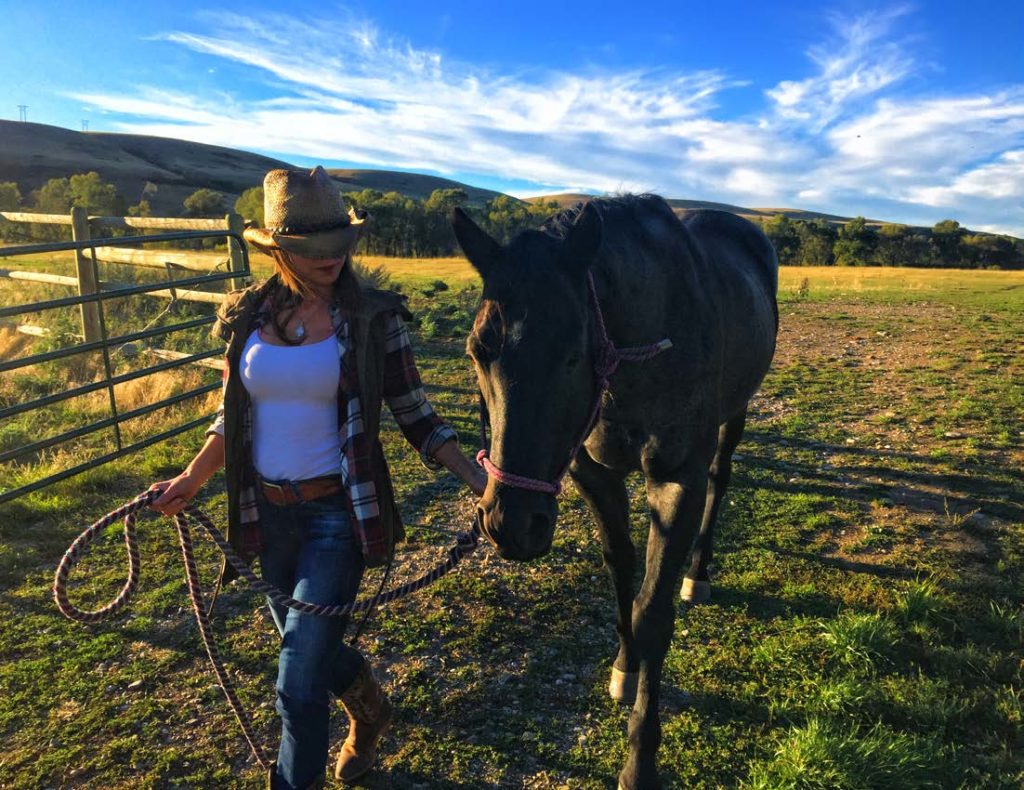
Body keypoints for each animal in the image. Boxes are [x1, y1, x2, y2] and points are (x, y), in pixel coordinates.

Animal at [452, 192, 778, 790]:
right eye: (477, 352)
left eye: (573, 352)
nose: (510, 525)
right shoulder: (593, 474)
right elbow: (620, 571)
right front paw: (624, 668)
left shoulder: (676, 480)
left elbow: (653, 612)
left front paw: (639, 760)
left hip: (736, 414)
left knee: (720, 483)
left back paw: (698, 574)